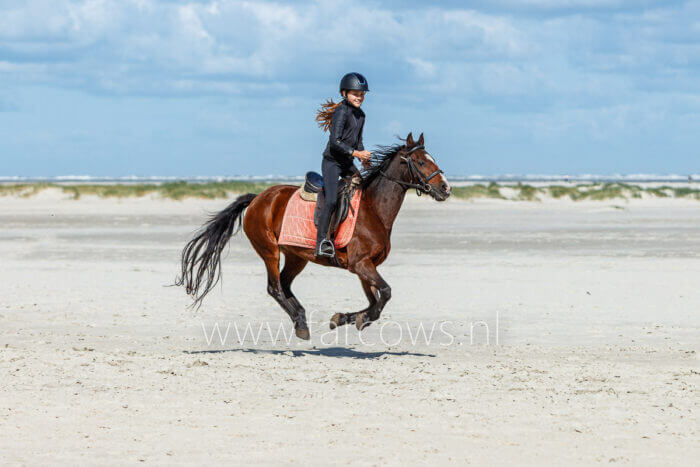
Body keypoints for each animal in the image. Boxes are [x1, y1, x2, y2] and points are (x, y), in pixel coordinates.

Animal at [178, 132, 452, 340]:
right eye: (420, 162)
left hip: (297, 256)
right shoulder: (361, 264)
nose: (446, 188)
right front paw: (359, 319)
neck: (373, 209)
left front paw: (343, 318)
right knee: (274, 287)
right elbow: (384, 294)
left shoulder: (365, 266)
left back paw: (301, 316)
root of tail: (258, 198)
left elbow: (375, 300)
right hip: (269, 250)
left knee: (285, 284)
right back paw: (300, 325)